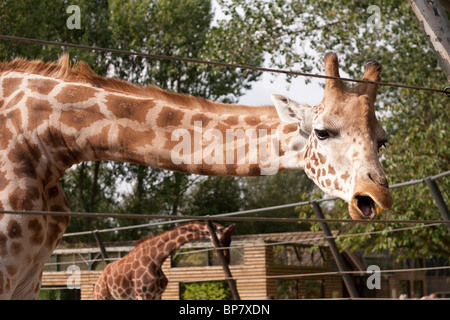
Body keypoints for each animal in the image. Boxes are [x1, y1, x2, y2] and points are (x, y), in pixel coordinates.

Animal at [94, 221, 236, 298]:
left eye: (230, 240)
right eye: (222, 240)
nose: (227, 259)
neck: (156, 259)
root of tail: (99, 279)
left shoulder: (157, 294)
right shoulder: (143, 295)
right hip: (102, 296)